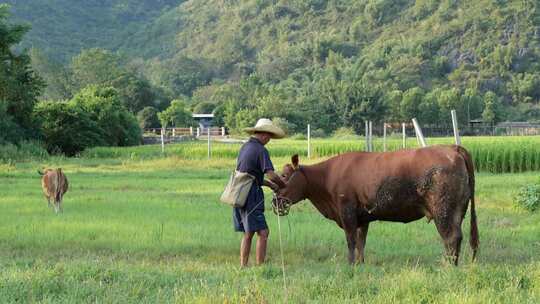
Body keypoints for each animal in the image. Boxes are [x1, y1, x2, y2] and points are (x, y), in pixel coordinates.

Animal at [276, 145, 478, 266]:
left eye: (284, 176)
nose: (276, 201)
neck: (328, 176)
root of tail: (451, 148)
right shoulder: (363, 217)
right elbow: (361, 241)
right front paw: (360, 263)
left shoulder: (347, 212)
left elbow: (351, 240)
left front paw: (350, 265)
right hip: (458, 211)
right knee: (457, 237)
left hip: (443, 211)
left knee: (450, 238)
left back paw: (448, 266)